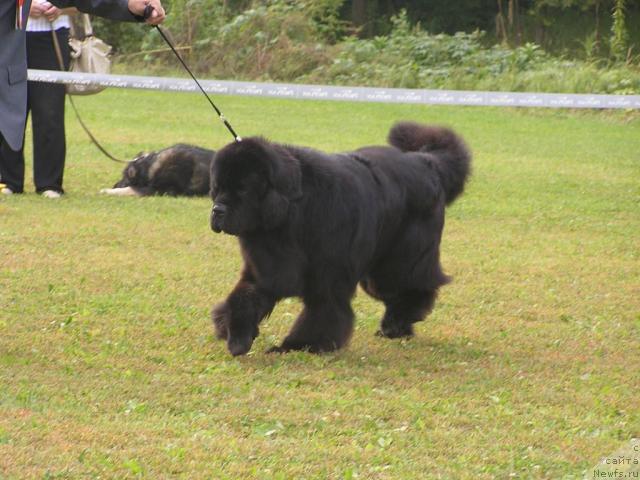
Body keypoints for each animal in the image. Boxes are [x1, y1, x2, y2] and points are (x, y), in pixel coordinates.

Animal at [210, 123, 470, 356]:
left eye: (242, 189)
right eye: (217, 188)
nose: (217, 210)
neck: (293, 212)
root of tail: (427, 161)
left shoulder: (329, 275)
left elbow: (323, 310)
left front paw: (300, 345)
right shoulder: (268, 265)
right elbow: (246, 297)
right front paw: (236, 336)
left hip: (397, 263)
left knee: (411, 286)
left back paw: (395, 325)